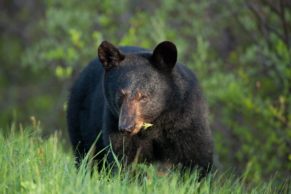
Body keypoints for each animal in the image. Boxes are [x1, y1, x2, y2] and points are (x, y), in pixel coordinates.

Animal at [67, 41, 213, 176]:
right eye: (121, 94)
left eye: (143, 96)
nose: (126, 127)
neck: (155, 123)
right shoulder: (113, 121)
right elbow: (125, 158)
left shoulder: (185, 120)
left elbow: (198, 157)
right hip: (81, 122)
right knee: (87, 155)